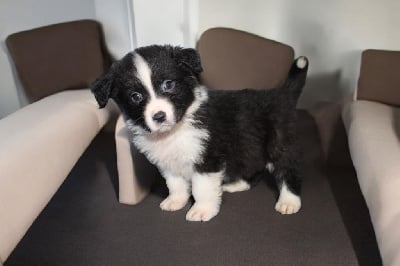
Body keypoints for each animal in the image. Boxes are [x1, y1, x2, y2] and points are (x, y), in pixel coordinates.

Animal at [91, 44, 310, 221]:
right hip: (249, 147)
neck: (176, 130)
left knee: (288, 169)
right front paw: (176, 200)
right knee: (254, 168)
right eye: (135, 96)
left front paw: (202, 210)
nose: (159, 116)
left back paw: (289, 201)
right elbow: (175, 184)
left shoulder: (207, 159)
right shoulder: (168, 162)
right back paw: (237, 184)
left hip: (279, 142)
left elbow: (202, 188)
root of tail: (282, 93)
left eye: (168, 84)